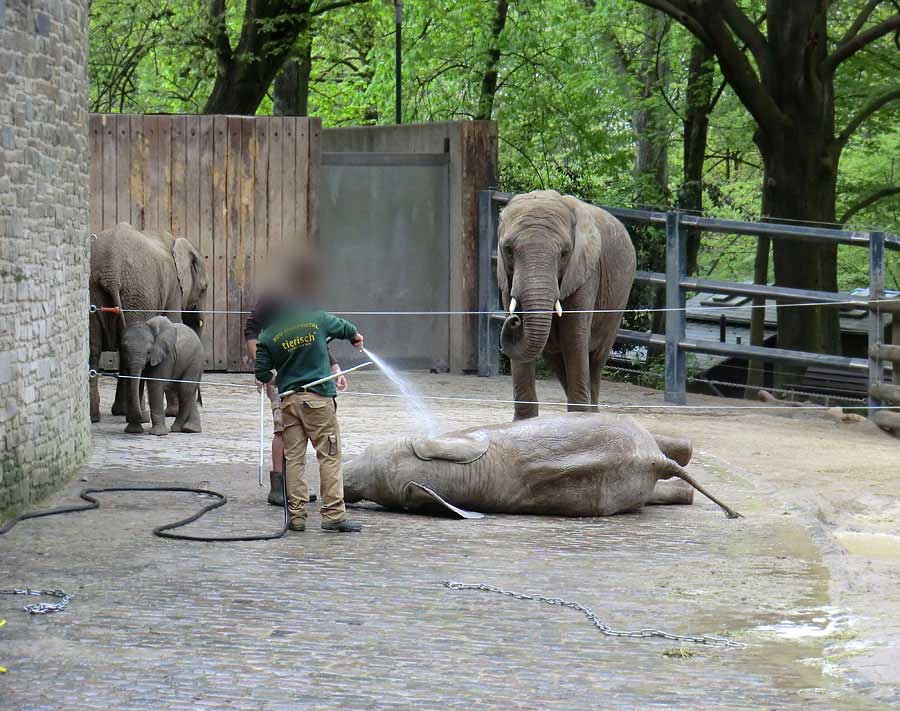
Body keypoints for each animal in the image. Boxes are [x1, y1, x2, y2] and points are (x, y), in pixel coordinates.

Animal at [88, 222, 207, 422]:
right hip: (139, 293)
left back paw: (97, 417)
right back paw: (140, 417)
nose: (200, 402)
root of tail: (111, 269)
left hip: (96, 291)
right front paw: (172, 413)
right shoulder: (174, 287)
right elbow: (173, 322)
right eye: (204, 288)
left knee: (94, 350)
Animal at [496, 191, 636, 422]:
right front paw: (524, 423)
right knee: (558, 362)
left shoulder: (585, 273)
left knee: (595, 361)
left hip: (617, 305)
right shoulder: (506, 277)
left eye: (564, 253)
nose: (514, 320)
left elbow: (574, 336)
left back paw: (593, 414)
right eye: (508, 250)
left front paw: (579, 420)